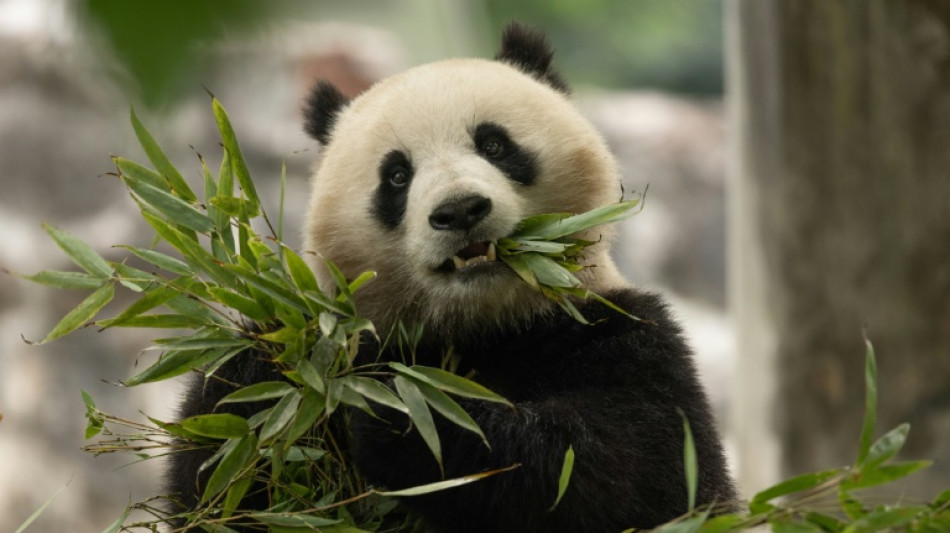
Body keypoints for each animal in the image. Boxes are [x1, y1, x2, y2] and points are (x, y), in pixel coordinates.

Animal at [169, 21, 736, 532]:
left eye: (494, 145)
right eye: (397, 175)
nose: (460, 210)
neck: (480, 325)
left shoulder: (622, 333)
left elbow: (627, 471)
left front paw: (401, 412)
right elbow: (218, 482)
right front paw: (272, 372)